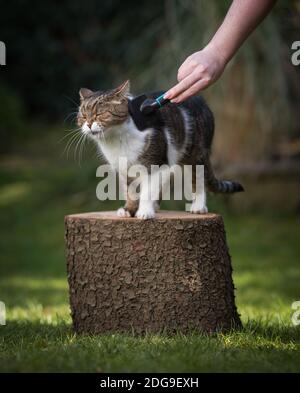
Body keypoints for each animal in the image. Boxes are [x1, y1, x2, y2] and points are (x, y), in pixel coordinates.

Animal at [77, 79, 244, 217]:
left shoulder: (154, 164)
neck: (116, 140)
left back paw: (198, 206)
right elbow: (130, 191)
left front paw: (144, 212)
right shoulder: (125, 169)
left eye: (99, 114)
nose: (88, 124)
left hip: (196, 155)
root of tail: (200, 99)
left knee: (198, 180)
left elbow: (147, 191)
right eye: (83, 116)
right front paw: (129, 210)